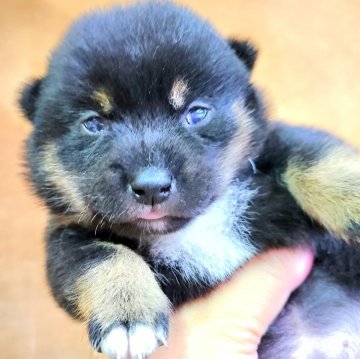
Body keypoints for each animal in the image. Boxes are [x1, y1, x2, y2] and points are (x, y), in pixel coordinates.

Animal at [19, 2, 360, 359]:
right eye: (94, 123)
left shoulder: (272, 143)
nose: (152, 187)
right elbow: (100, 257)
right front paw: (128, 314)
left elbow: (311, 153)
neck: (197, 225)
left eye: (196, 113)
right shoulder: (64, 236)